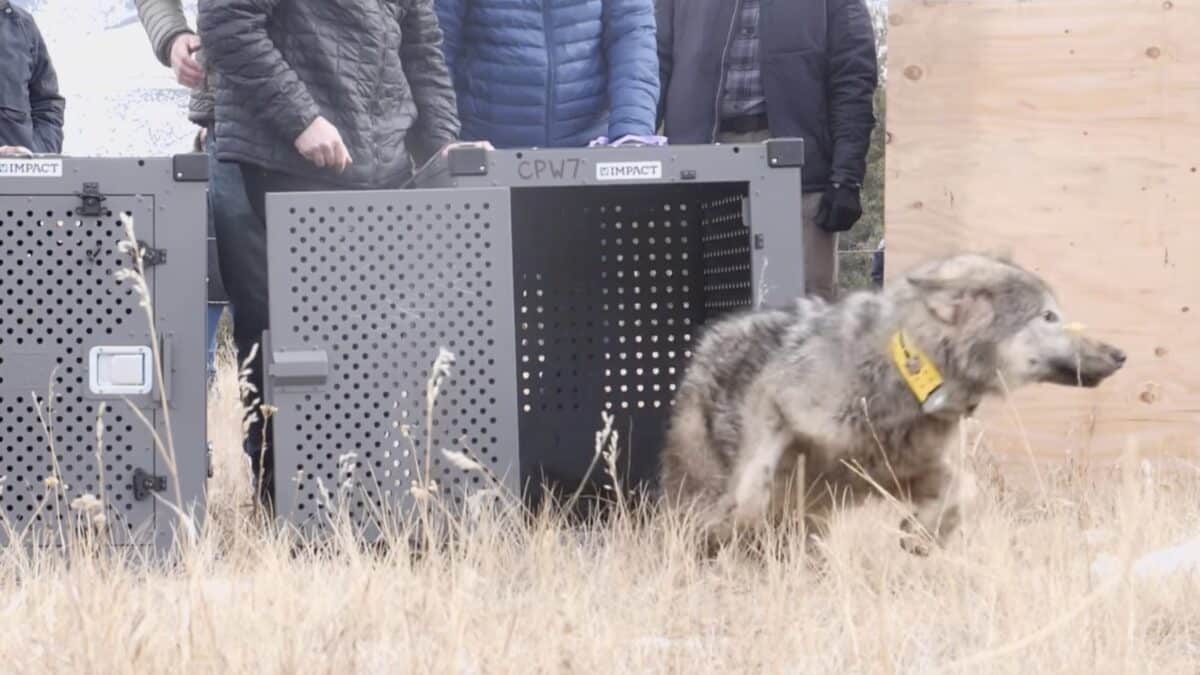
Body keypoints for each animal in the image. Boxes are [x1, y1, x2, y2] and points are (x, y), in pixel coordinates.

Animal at [660, 253, 1126, 553]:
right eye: (1048, 317)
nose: (1120, 354)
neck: (907, 375)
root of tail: (708, 341)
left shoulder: (902, 472)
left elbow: (966, 489)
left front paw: (921, 534)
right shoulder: (774, 404)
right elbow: (751, 490)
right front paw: (733, 522)